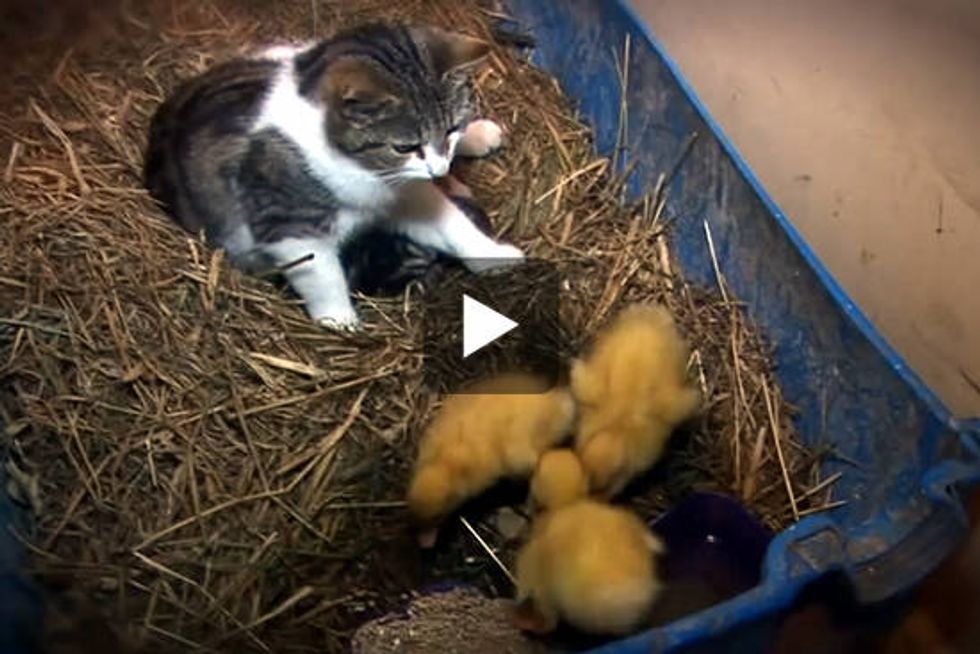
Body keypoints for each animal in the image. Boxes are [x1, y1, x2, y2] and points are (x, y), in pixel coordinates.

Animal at [144, 23, 520, 330]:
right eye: (405, 146)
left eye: (451, 128)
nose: (440, 169)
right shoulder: (288, 223)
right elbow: (319, 273)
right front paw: (339, 321)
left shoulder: (410, 191)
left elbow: (453, 225)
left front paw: (492, 255)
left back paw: (480, 134)